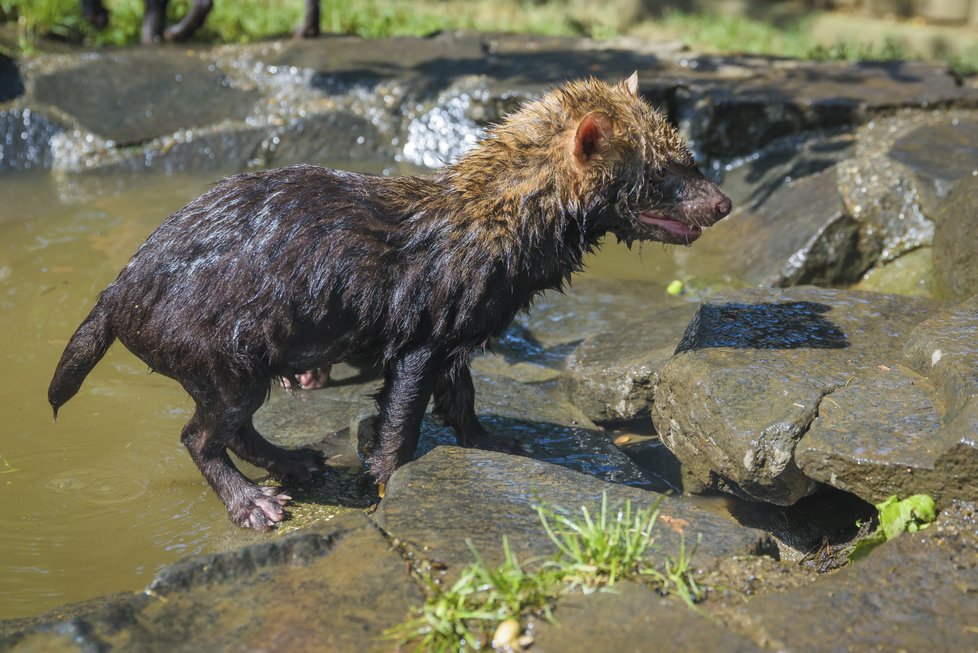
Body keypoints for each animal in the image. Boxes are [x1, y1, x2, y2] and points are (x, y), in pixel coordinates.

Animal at [47, 74, 732, 528]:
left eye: (691, 156)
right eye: (664, 175)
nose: (724, 203)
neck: (493, 227)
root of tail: (119, 287)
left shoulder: (461, 330)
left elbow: (462, 396)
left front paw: (495, 443)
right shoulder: (425, 330)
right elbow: (403, 415)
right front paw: (385, 482)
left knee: (236, 430)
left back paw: (296, 463)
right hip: (220, 353)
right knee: (201, 436)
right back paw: (254, 503)